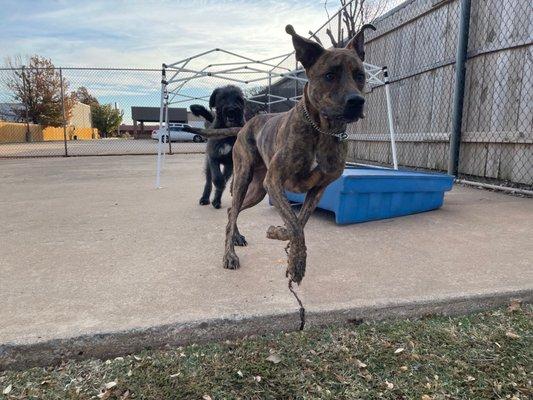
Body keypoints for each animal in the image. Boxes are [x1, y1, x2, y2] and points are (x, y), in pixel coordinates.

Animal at [185, 24, 372, 284]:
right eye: (329, 76)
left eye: (360, 75)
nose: (356, 101)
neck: (322, 131)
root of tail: (244, 125)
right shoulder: (275, 181)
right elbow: (295, 224)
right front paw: (297, 264)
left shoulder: (318, 189)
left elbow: (299, 221)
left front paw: (279, 233)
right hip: (243, 179)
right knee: (233, 211)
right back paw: (229, 254)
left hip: (257, 190)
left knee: (233, 211)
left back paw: (236, 237)